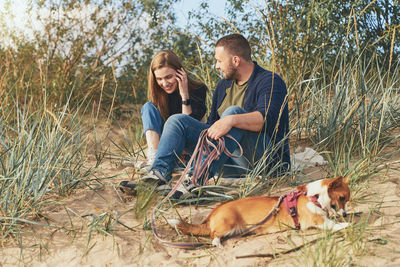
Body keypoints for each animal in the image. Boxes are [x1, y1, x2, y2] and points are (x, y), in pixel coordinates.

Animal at [168, 176, 350, 249]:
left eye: (346, 200)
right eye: (341, 198)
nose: (346, 214)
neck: (314, 197)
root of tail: (213, 213)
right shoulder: (319, 221)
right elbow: (334, 224)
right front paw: (345, 224)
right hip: (227, 225)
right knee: (214, 235)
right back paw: (217, 243)